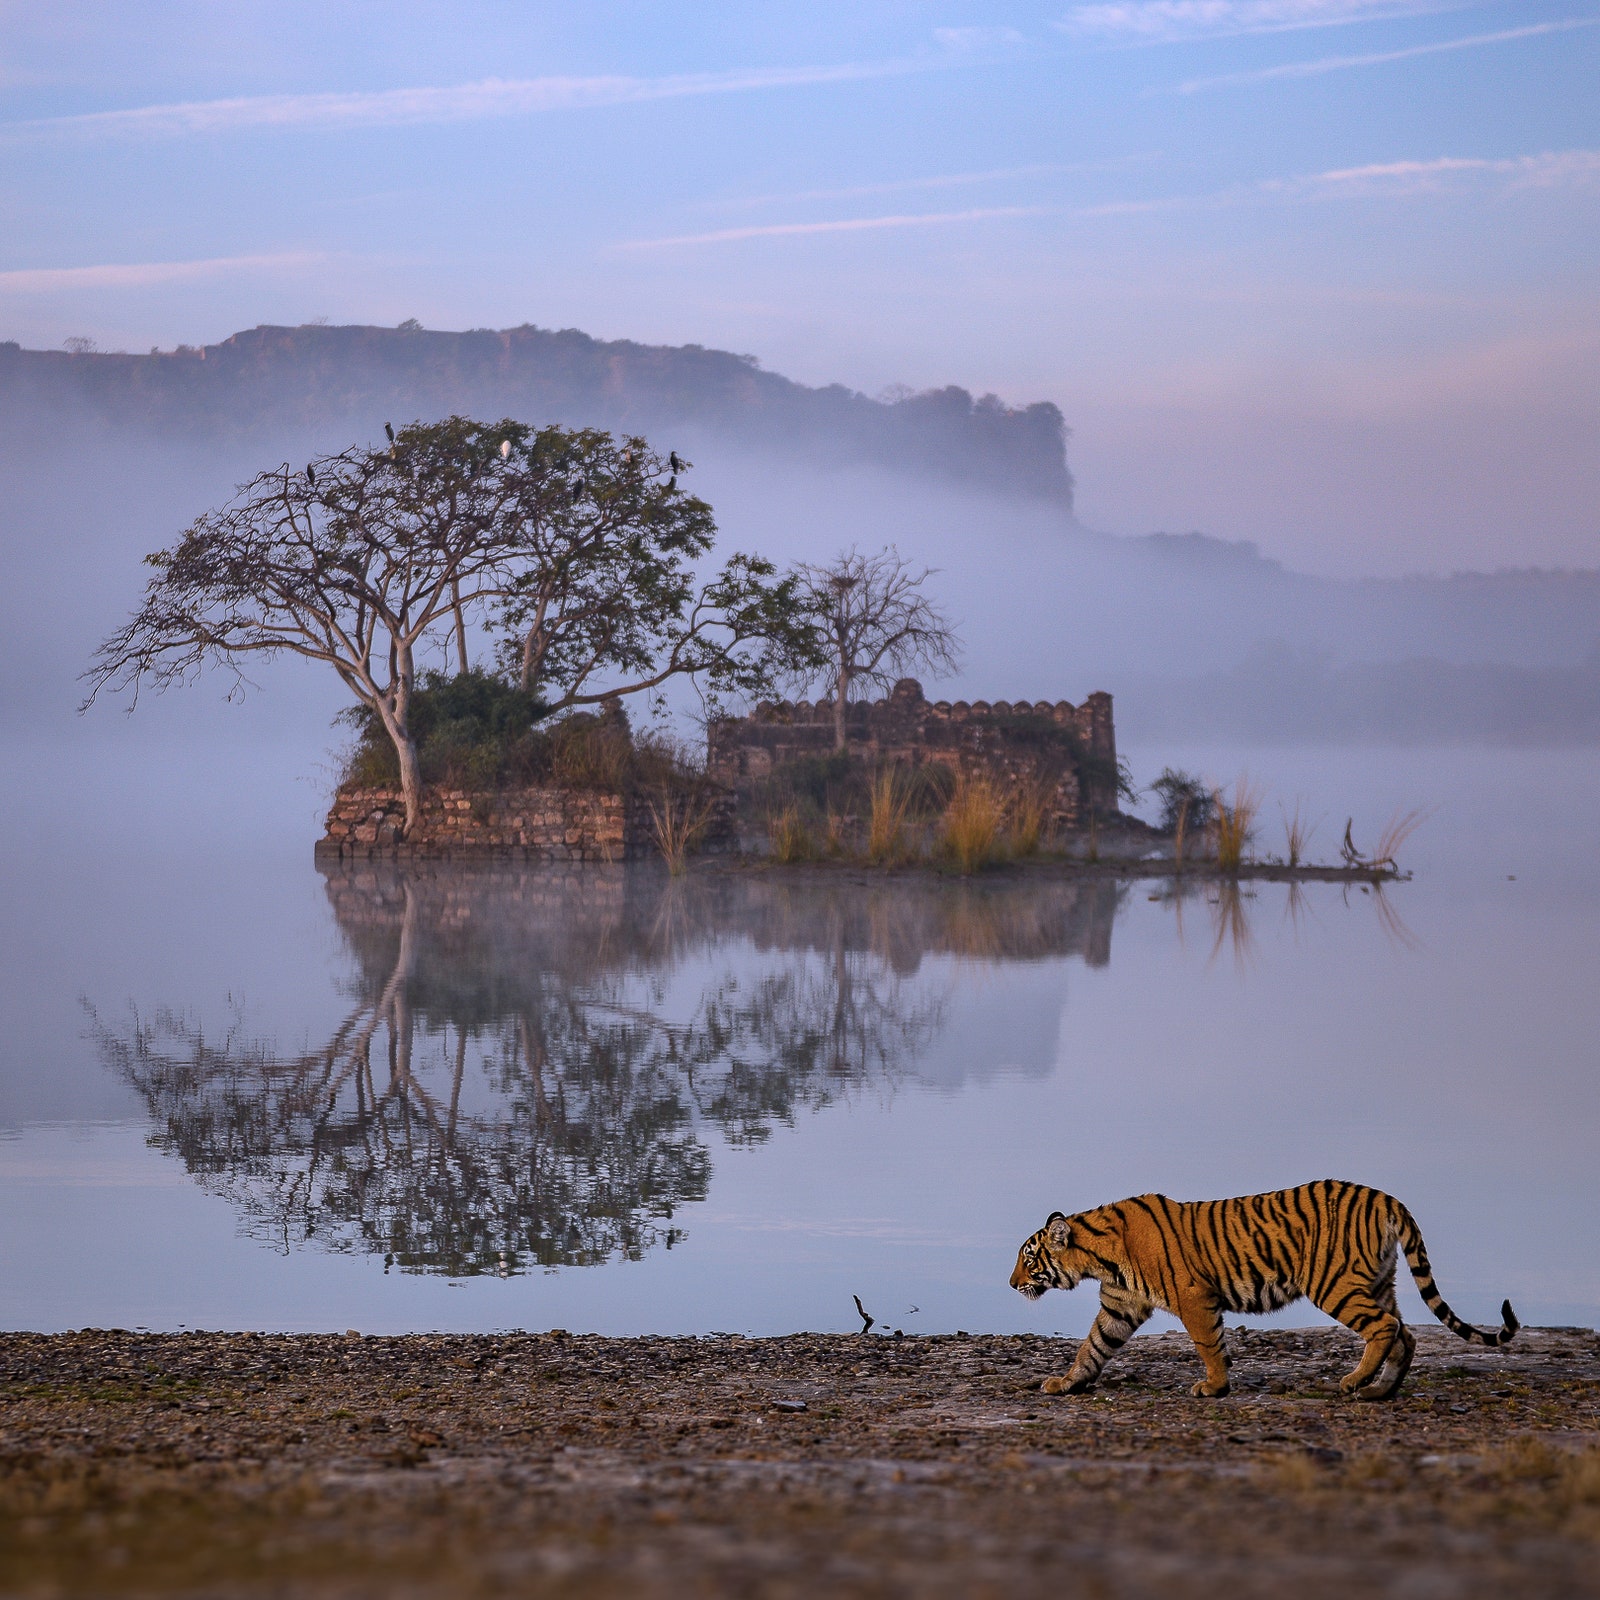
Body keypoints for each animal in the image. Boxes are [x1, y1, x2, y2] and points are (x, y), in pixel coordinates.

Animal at [1004, 1177, 1516, 1401]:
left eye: (1028, 1259)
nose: (1011, 1283)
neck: (1100, 1257)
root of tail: (1387, 1198)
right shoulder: (1120, 1306)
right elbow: (1091, 1346)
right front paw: (1067, 1382)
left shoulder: (1194, 1298)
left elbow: (1209, 1344)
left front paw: (1214, 1386)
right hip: (1376, 1281)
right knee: (1405, 1334)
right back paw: (1380, 1390)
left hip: (1334, 1284)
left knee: (1385, 1328)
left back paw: (1354, 1382)